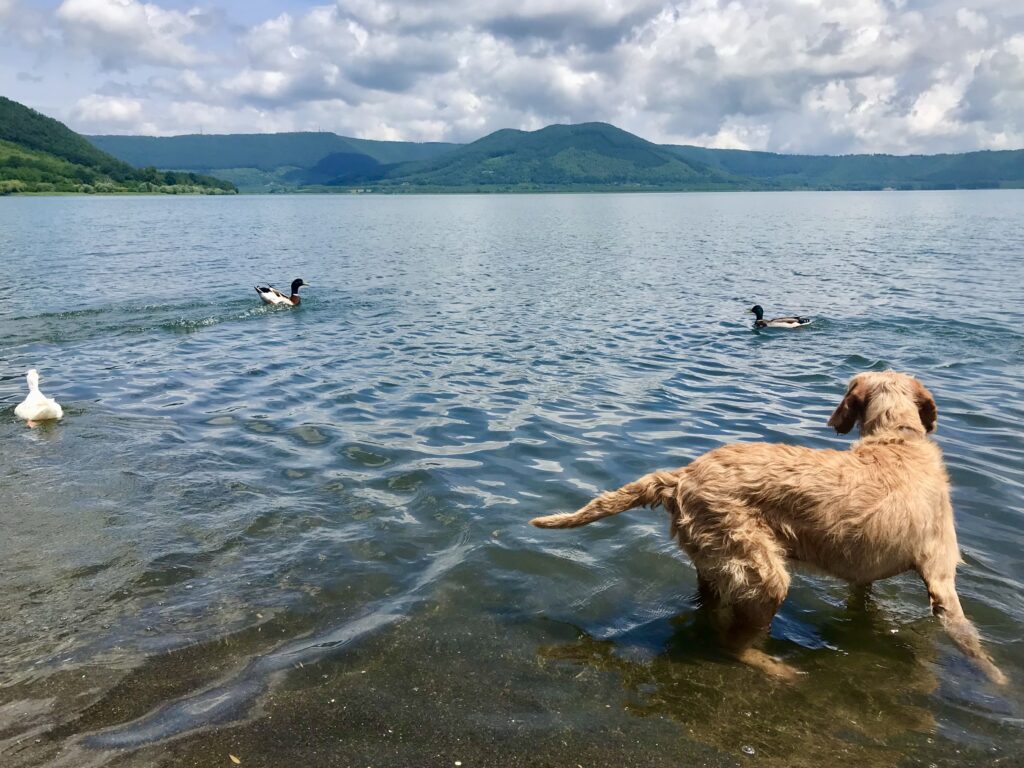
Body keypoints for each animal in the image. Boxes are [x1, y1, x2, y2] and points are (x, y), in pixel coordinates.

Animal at [532, 372, 1003, 684]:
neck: (897, 438)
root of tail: (679, 478)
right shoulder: (941, 578)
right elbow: (969, 640)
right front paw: (998, 683)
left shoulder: (864, 577)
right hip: (762, 571)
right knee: (734, 643)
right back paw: (778, 668)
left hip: (717, 563)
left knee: (710, 607)